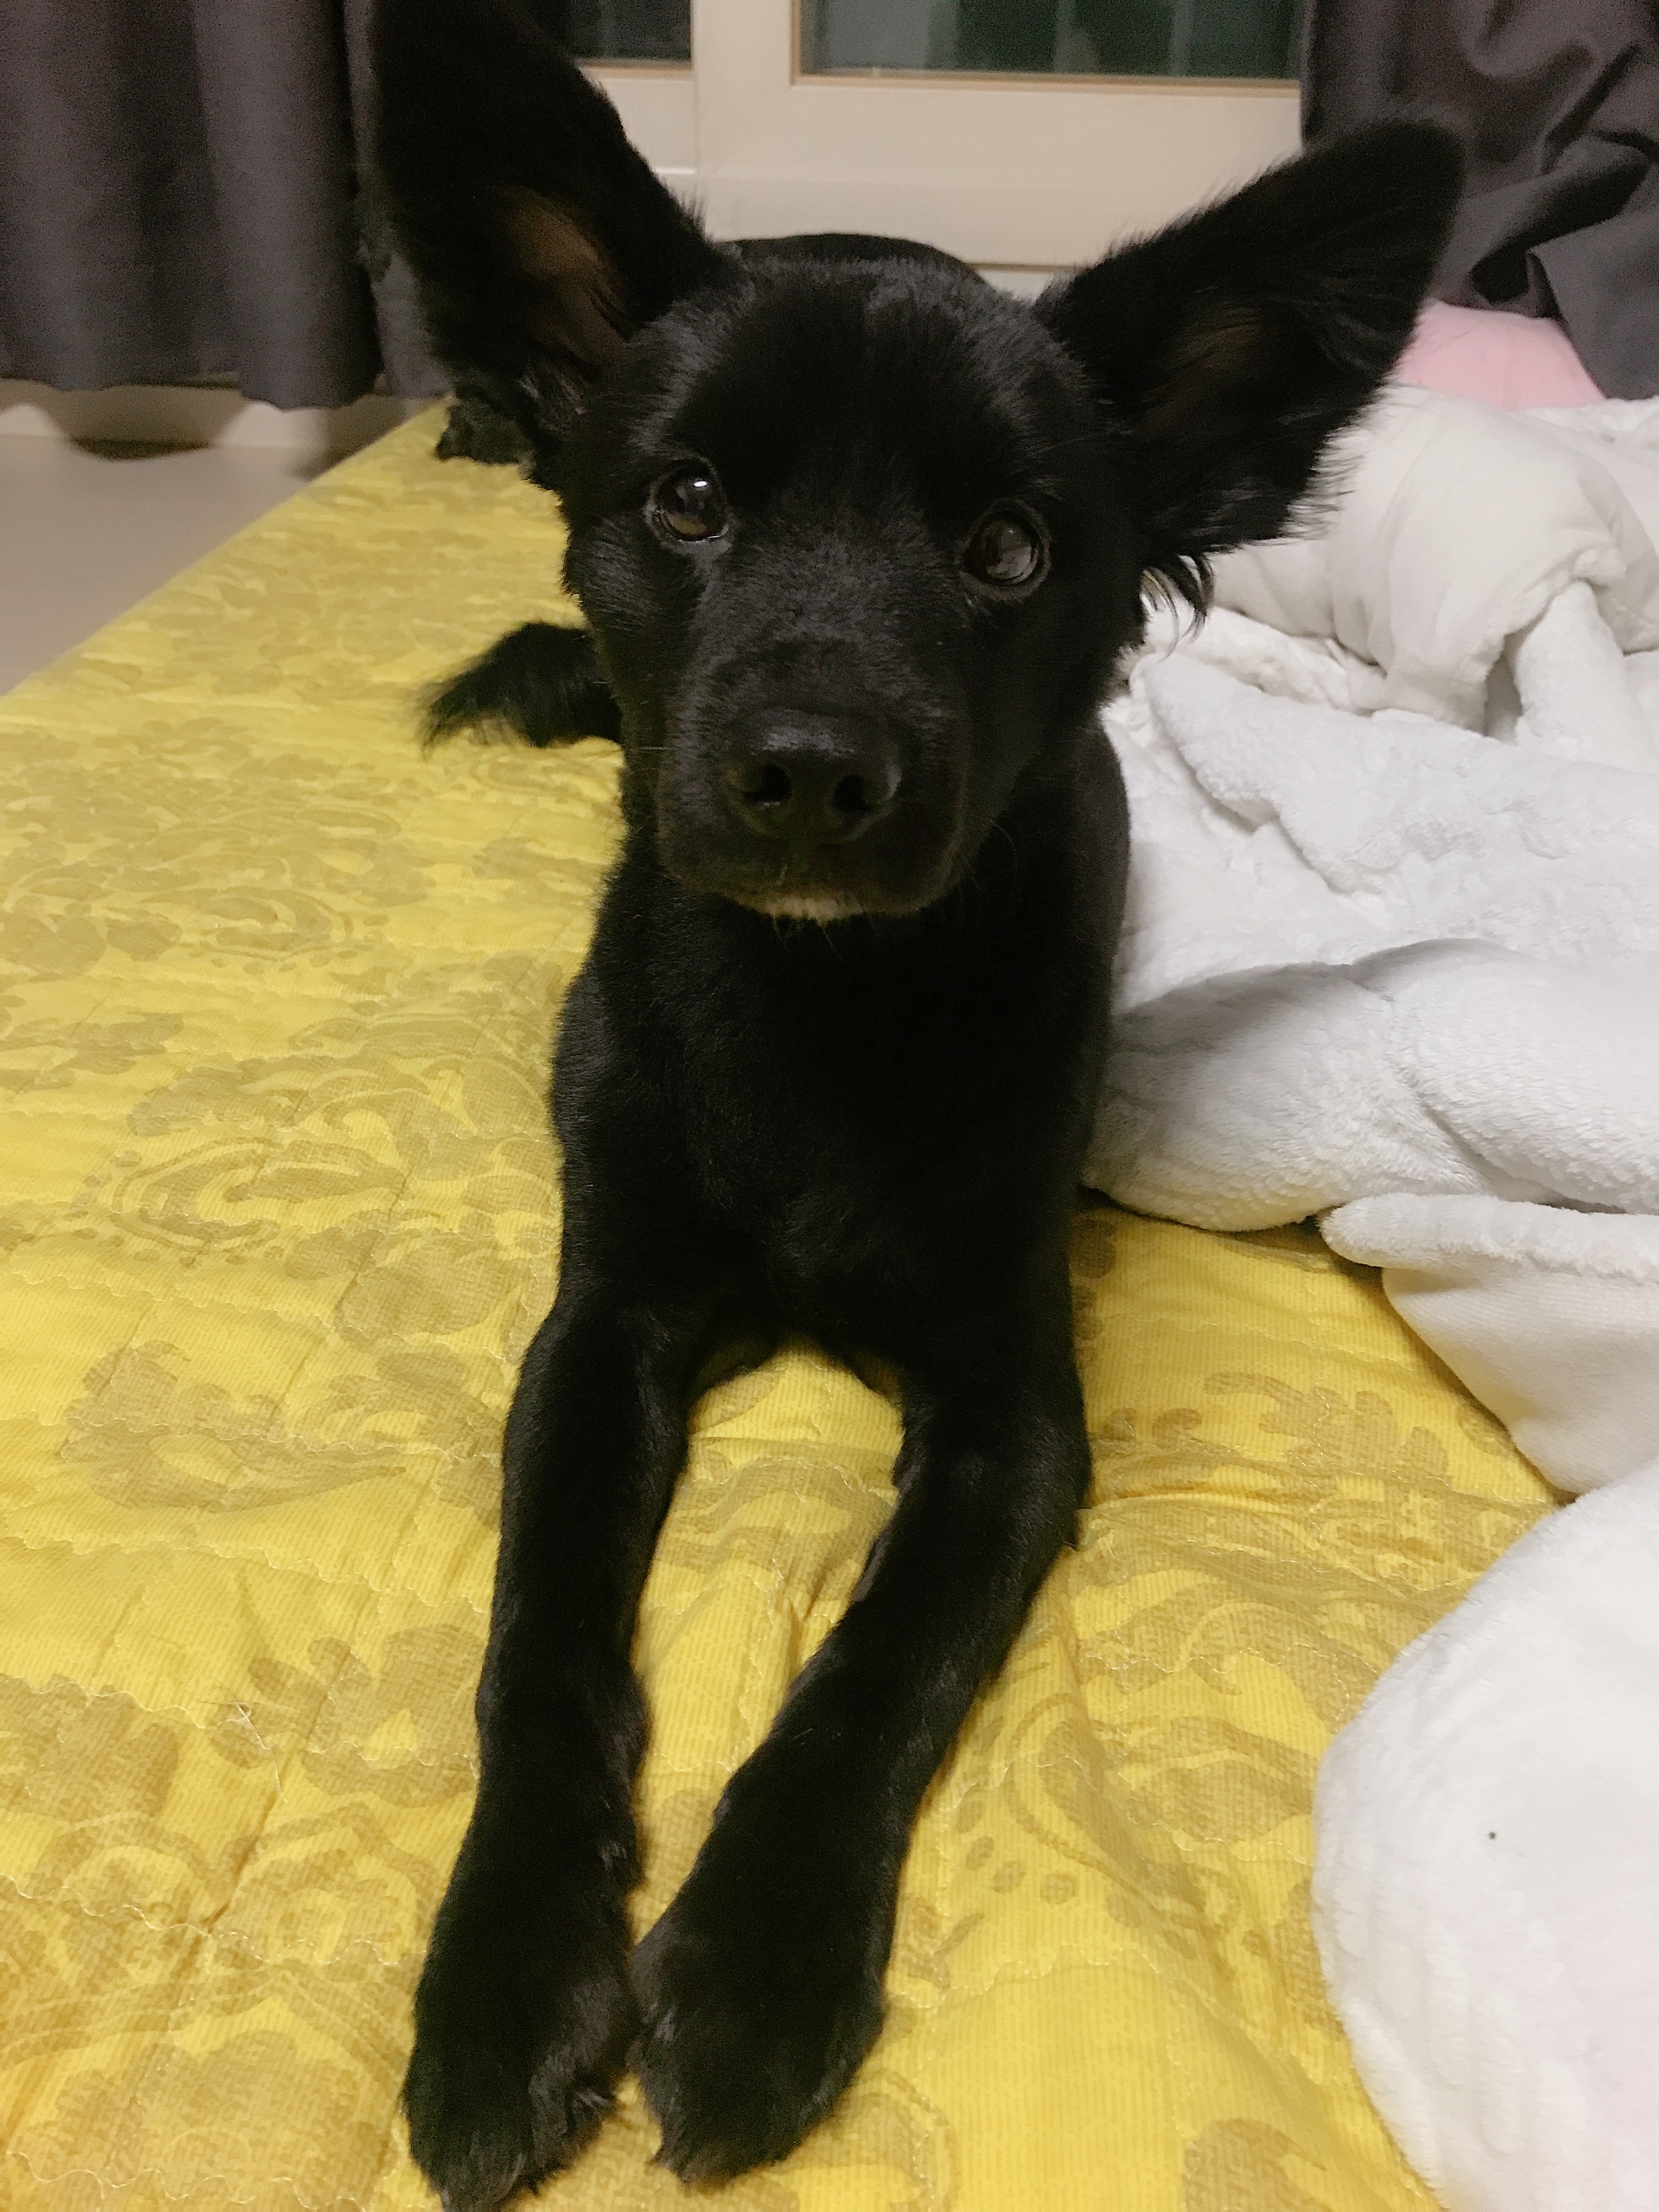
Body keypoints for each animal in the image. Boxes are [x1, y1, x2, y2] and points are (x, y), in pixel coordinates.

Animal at [375, 3, 1460, 2199]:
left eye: (1009, 550)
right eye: (688, 499)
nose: (809, 769)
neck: (816, 1009)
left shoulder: (1011, 1409)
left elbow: (868, 1667)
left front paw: (759, 1969)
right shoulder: (597, 1331)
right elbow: (539, 1641)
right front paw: (508, 1976)